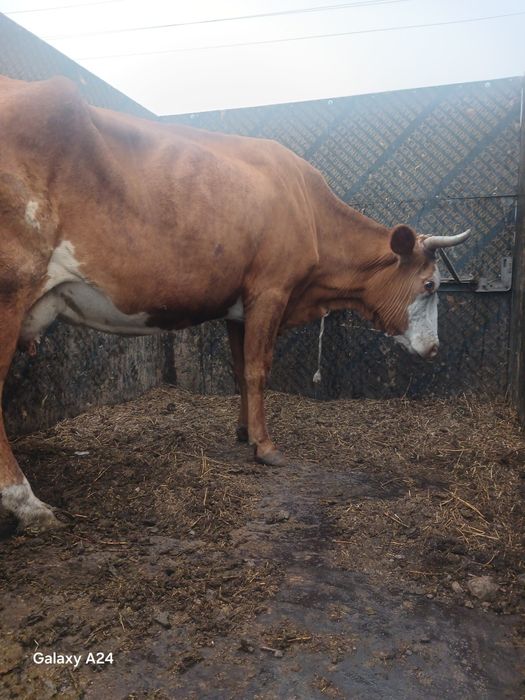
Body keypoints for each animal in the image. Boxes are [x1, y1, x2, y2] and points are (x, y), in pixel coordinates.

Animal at [0, 75, 470, 532]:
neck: (310, 211)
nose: (435, 349)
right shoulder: (271, 290)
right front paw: (266, 447)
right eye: (430, 284)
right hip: (11, 287)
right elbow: (259, 369)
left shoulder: (238, 307)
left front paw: (244, 431)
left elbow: (240, 368)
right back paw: (28, 503)